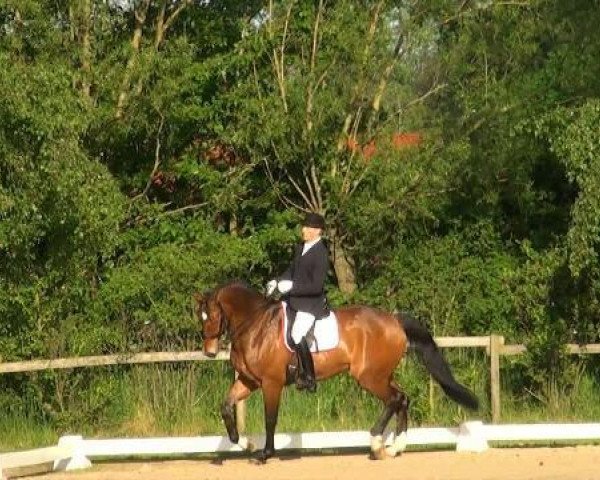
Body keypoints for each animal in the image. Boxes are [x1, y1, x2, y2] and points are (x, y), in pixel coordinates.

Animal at [193, 282, 478, 462]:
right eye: (201, 316)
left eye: (212, 315)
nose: (209, 351)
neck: (255, 324)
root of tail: (393, 320)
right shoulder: (248, 381)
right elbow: (226, 407)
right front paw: (245, 443)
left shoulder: (271, 383)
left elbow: (270, 419)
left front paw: (264, 454)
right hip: (381, 375)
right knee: (403, 398)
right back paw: (395, 447)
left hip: (369, 377)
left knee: (395, 399)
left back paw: (377, 442)